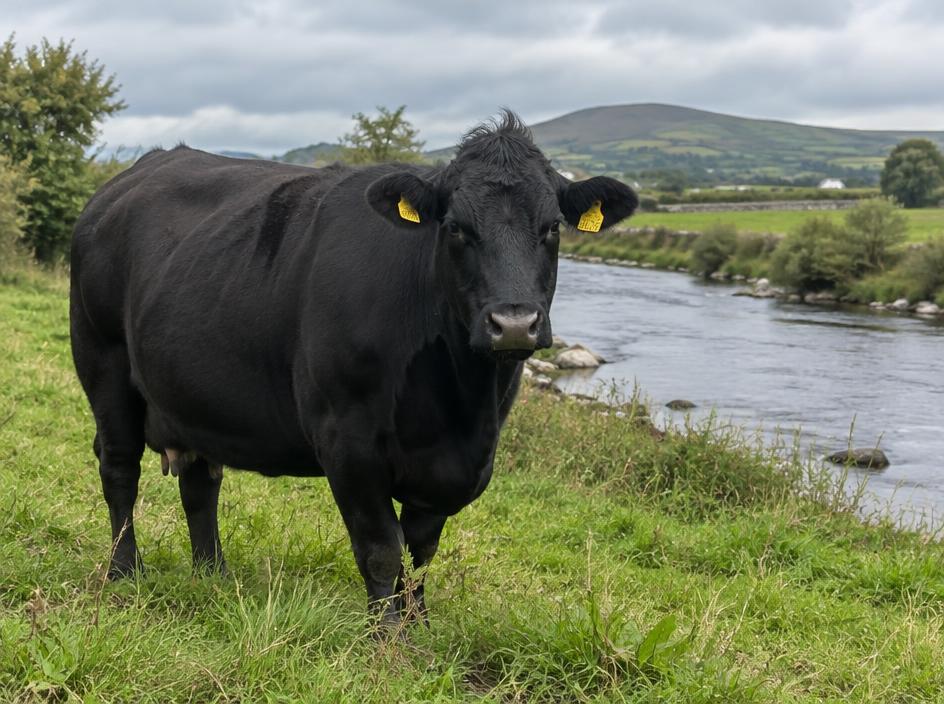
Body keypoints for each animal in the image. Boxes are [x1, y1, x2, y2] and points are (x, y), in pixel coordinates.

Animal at [69, 111, 637, 626]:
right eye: (455, 228)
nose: (514, 323)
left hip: (194, 393)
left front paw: (419, 626)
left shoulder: (457, 463)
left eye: (552, 228)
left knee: (200, 483)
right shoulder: (349, 442)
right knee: (119, 468)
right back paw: (125, 572)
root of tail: (127, 179)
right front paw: (387, 638)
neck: (459, 406)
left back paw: (213, 574)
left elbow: (421, 553)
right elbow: (382, 548)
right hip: (103, 361)